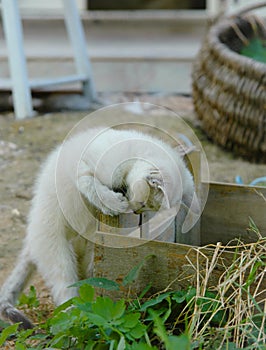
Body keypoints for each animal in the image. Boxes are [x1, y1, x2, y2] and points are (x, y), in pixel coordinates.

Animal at [0, 128, 195, 328]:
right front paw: (114, 203)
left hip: (91, 253)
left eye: (147, 208)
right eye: (143, 203)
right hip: (57, 250)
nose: (135, 211)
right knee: (65, 292)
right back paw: (77, 319)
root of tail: (30, 242)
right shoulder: (79, 165)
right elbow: (91, 184)